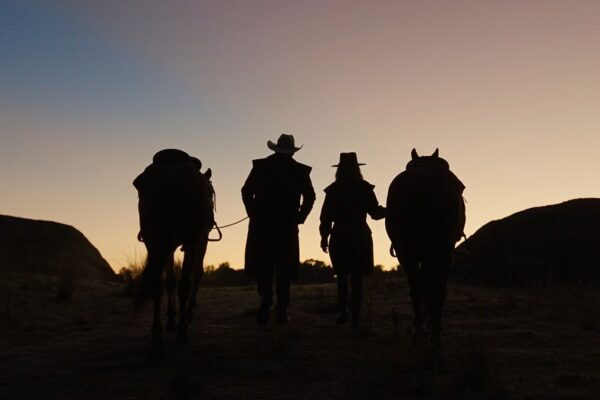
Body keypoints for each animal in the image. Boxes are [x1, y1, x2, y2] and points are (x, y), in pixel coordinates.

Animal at [132, 150, 214, 354]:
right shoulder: (200, 240)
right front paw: (186, 315)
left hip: (154, 240)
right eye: (210, 193)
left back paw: (157, 339)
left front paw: (170, 319)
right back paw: (182, 332)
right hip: (191, 240)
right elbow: (196, 275)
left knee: (156, 284)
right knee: (184, 284)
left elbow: (169, 280)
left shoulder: (167, 245)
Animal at [386, 148, 466, 352]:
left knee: (419, 286)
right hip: (438, 250)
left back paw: (424, 334)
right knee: (434, 286)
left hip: (409, 251)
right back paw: (431, 335)